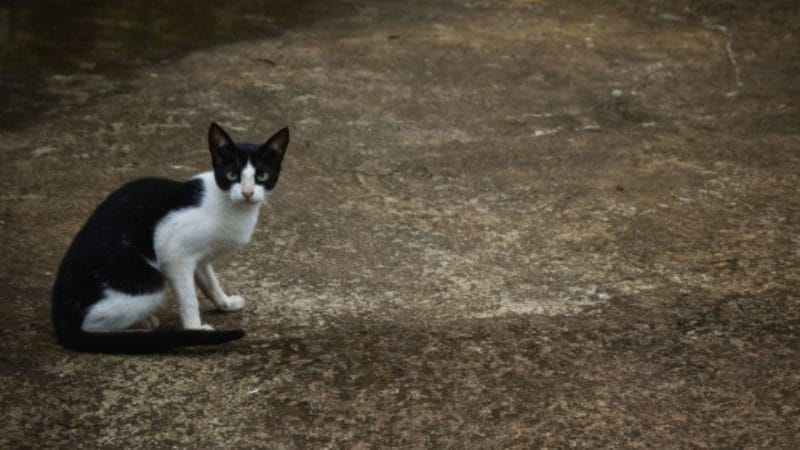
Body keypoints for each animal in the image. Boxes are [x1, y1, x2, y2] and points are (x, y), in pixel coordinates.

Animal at [50, 121, 290, 354]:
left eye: (262, 176)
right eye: (232, 175)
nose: (248, 193)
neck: (230, 205)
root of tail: (60, 314)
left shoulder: (199, 259)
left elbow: (210, 282)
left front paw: (225, 303)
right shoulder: (175, 254)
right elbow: (188, 299)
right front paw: (195, 329)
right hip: (149, 285)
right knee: (94, 324)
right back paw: (140, 332)